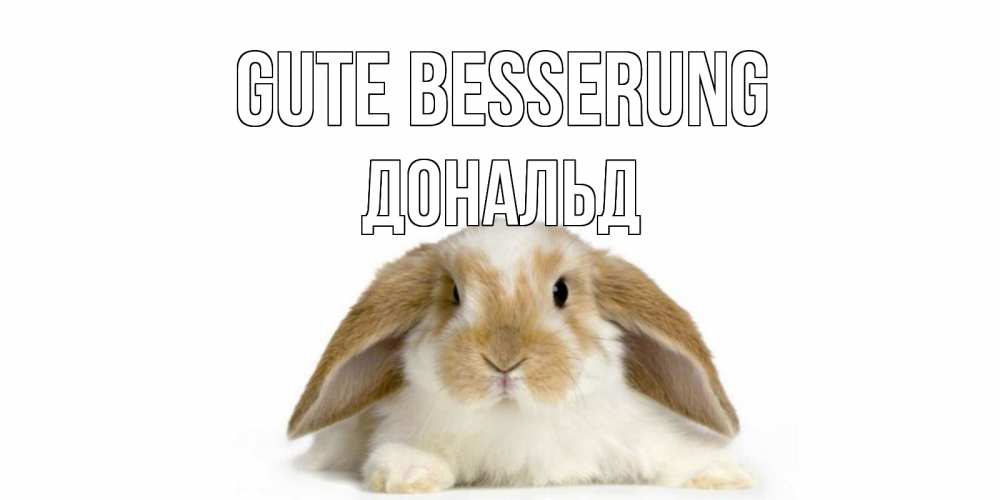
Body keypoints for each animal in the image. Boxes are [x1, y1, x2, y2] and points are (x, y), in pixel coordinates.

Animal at [288, 224, 752, 493]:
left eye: (561, 291)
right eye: (454, 294)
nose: (504, 359)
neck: (514, 416)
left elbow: (671, 452)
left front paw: (724, 475)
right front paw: (409, 474)